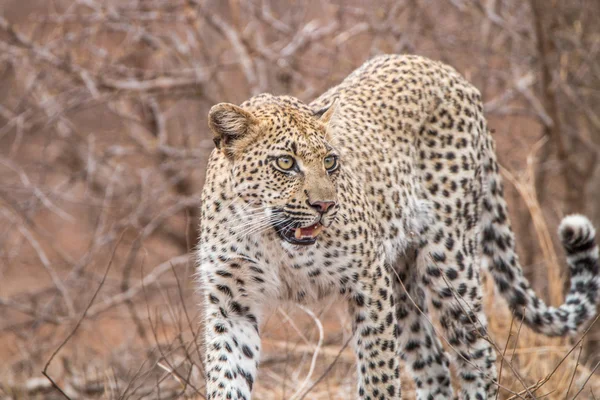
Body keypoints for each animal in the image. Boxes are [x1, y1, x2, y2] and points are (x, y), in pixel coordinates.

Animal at [198, 54, 600, 400]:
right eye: (285, 163)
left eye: (330, 161)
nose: (325, 206)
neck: (268, 236)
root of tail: (446, 71)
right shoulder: (231, 304)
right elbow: (227, 378)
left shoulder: (368, 282)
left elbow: (378, 376)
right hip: (402, 279)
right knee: (434, 364)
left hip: (449, 263)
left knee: (477, 354)